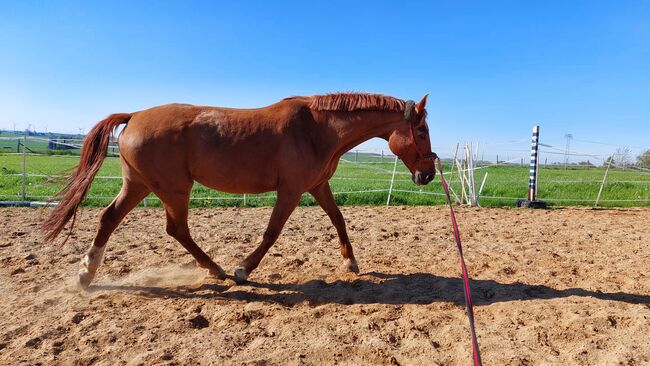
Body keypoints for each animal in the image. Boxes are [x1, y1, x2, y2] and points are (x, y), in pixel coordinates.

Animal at [40, 93, 436, 288]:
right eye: (421, 131)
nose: (429, 174)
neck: (317, 128)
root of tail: (134, 115)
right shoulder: (291, 190)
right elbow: (272, 232)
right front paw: (244, 269)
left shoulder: (317, 186)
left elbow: (339, 219)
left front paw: (350, 262)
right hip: (173, 188)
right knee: (176, 228)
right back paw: (218, 270)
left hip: (138, 185)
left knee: (110, 219)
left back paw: (86, 275)